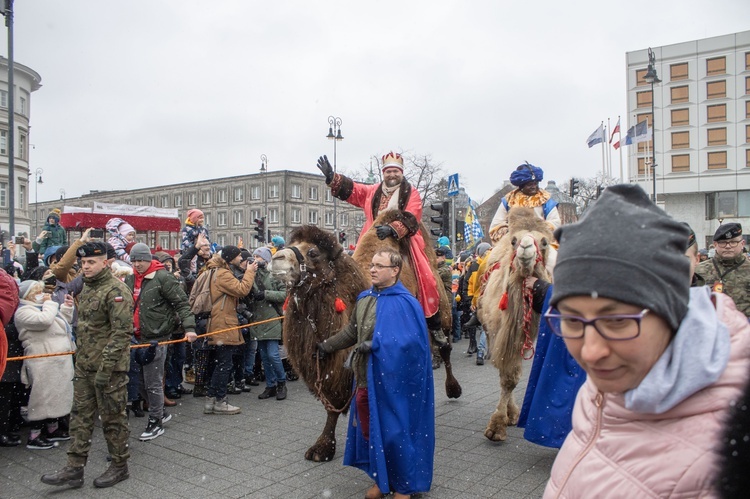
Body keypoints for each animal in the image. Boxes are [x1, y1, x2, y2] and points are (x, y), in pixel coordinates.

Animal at [478, 207, 556, 442]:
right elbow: (507, 376)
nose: (525, 247)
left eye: (544, 242)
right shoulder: (500, 334)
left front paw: (502, 421)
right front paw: (497, 425)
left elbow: (512, 378)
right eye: (513, 241)